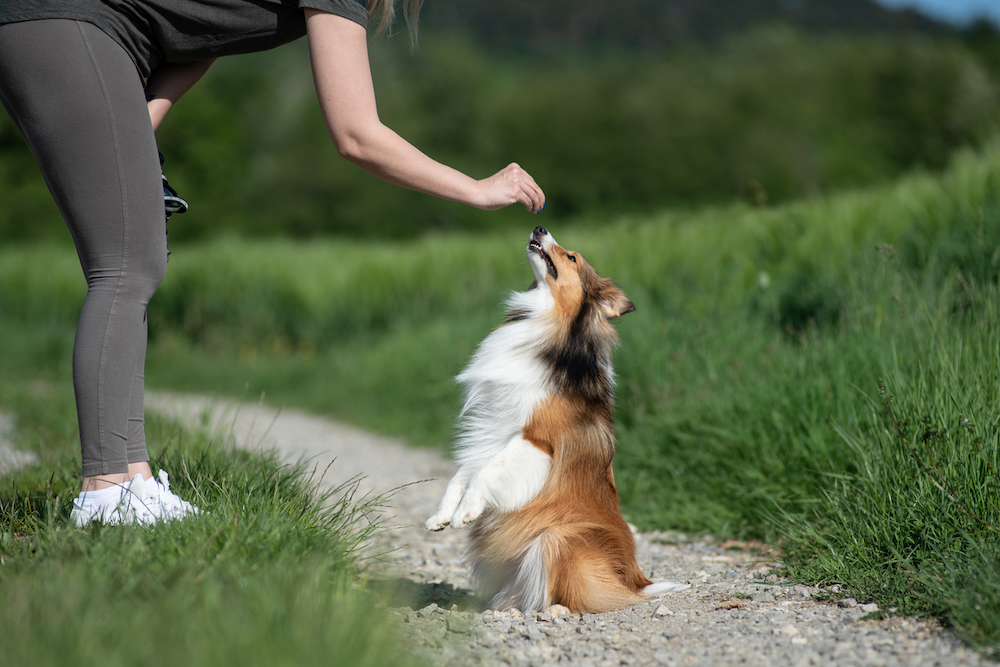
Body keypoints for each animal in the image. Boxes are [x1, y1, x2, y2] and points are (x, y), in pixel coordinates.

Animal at [422, 227, 688, 612]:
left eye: (572, 258)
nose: (539, 228)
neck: (546, 320)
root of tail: (638, 581)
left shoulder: (536, 439)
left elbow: (487, 470)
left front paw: (465, 513)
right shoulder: (494, 426)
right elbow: (463, 471)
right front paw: (441, 515)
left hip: (557, 536)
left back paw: (553, 610)